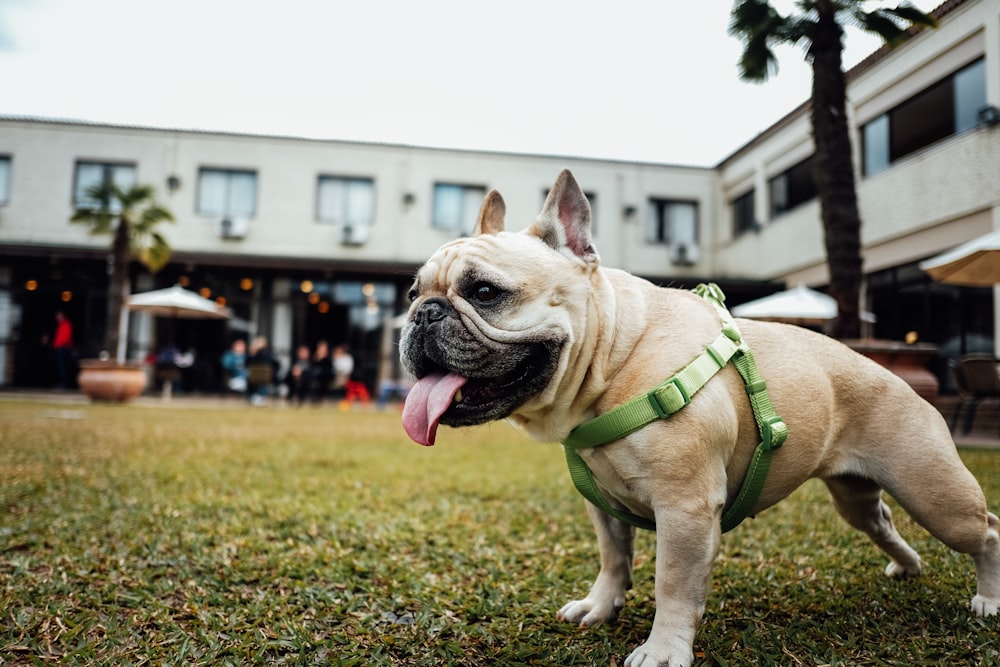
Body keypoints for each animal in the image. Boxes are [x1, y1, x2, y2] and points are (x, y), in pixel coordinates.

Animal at [400, 170, 1000, 664]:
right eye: (412, 291)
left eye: (484, 292)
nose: (422, 314)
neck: (616, 359)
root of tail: (894, 374)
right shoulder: (604, 504)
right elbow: (613, 559)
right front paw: (601, 606)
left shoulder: (684, 508)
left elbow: (672, 583)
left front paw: (664, 650)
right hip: (856, 495)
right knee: (883, 521)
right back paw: (907, 566)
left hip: (933, 490)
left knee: (986, 531)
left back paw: (989, 601)